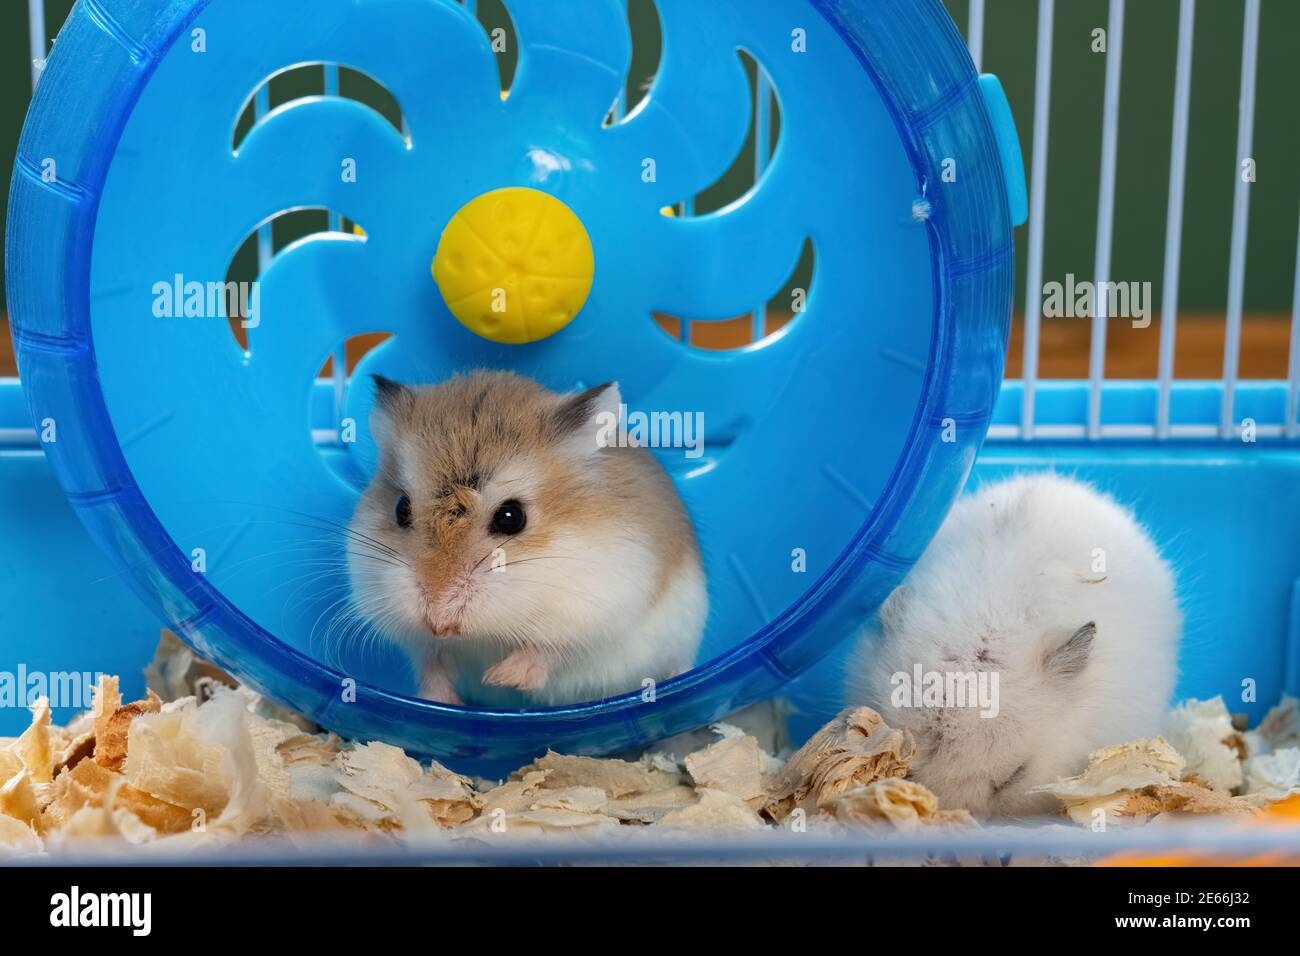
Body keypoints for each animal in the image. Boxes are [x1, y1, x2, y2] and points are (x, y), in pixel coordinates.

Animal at [347, 370, 707, 707]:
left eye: (511, 517)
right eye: (401, 508)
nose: (439, 622)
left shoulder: (594, 611)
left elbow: (549, 646)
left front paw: (503, 677)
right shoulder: (416, 637)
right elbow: (432, 661)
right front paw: (440, 701)